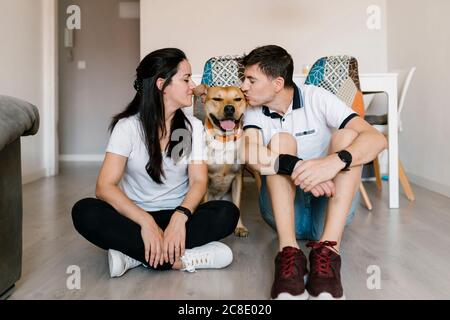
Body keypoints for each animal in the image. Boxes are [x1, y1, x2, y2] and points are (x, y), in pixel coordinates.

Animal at [193, 85, 250, 238]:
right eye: (216, 99)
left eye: (238, 99)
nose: (229, 108)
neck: (224, 140)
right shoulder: (205, 179)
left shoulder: (238, 177)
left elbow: (237, 205)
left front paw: (239, 227)